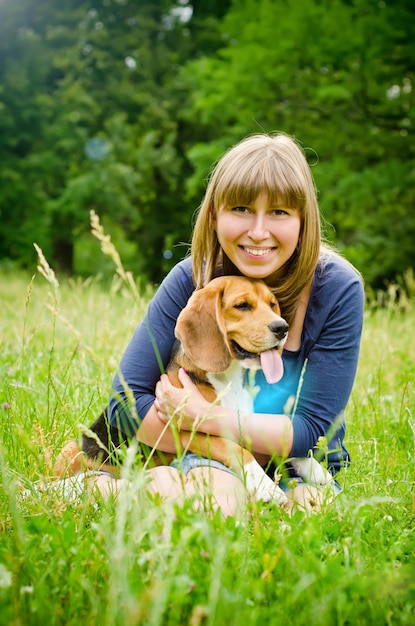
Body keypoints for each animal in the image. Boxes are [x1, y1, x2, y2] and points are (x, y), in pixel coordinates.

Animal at [53, 272, 332, 502]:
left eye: (272, 304)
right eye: (242, 306)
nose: (282, 328)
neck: (227, 378)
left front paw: (313, 466)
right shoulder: (190, 431)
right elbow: (238, 449)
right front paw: (265, 486)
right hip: (72, 449)